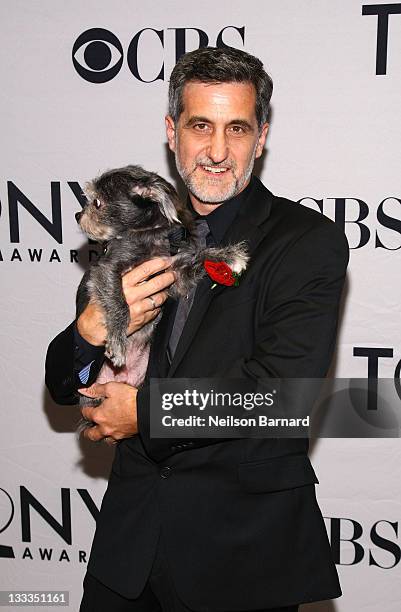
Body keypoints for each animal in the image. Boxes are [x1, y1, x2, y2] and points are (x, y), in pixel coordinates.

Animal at [75, 163, 248, 428]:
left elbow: (200, 255)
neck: (146, 235)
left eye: (97, 202)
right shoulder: (108, 270)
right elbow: (119, 303)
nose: (77, 216)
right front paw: (117, 342)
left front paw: (229, 255)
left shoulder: (175, 273)